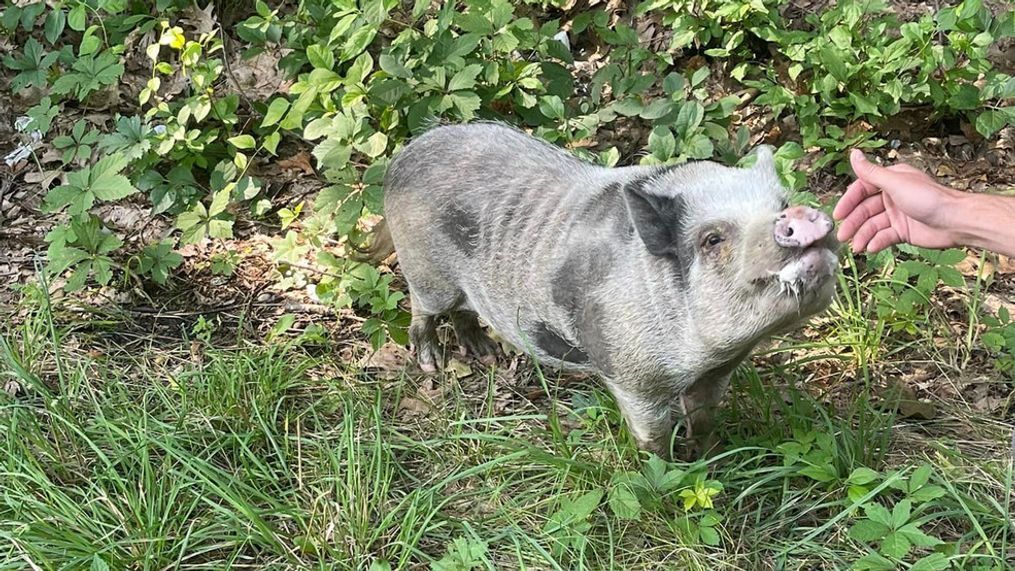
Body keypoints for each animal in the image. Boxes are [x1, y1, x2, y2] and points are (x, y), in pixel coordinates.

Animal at [359, 121, 840, 460]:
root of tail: (403, 156)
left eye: (781, 204)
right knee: (422, 311)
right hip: (424, 270)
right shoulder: (630, 374)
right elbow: (653, 436)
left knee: (464, 311)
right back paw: (432, 365)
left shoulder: (717, 372)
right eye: (712, 239)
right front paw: (666, 473)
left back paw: (486, 355)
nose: (800, 216)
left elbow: (703, 418)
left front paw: (709, 456)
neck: (702, 356)